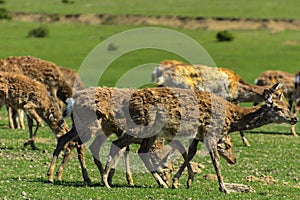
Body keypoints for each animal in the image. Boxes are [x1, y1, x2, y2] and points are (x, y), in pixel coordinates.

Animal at [101, 82, 298, 192]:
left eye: (286, 105)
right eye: (277, 108)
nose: (294, 118)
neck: (231, 118)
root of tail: (128, 103)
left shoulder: (198, 136)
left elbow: (190, 154)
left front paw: (180, 181)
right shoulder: (211, 133)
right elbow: (215, 161)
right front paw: (223, 188)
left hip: (151, 131)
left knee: (140, 150)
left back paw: (160, 183)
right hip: (142, 126)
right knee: (117, 143)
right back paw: (106, 181)